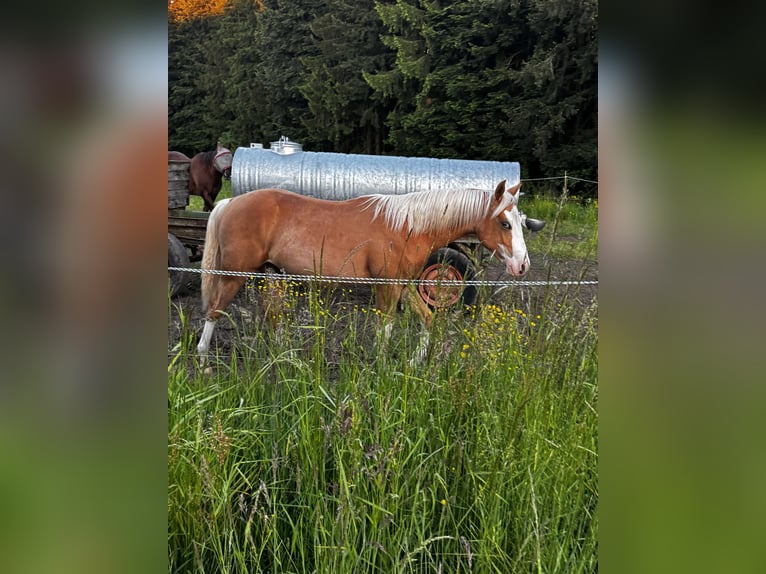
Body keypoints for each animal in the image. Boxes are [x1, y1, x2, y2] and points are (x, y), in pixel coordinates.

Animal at [196, 180, 530, 365]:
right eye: (504, 223)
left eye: (520, 221)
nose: (522, 265)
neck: (408, 225)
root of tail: (230, 202)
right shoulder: (387, 286)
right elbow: (385, 328)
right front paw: (381, 368)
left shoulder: (405, 284)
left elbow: (428, 320)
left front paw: (415, 361)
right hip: (235, 275)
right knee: (214, 311)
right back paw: (201, 361)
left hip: (270, 274)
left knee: (272, 315)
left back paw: (285, 357)